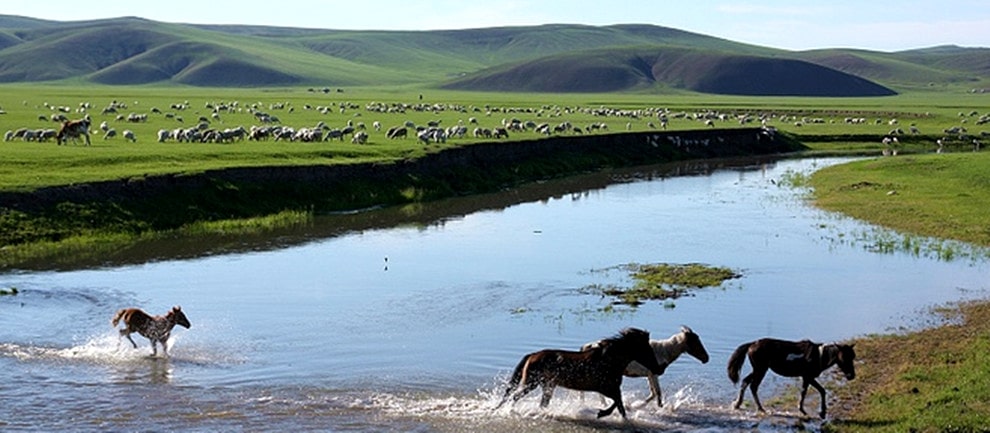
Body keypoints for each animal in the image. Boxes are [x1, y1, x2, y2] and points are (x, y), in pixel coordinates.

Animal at [496, 328, 668, 418]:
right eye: (647, 350)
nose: (659, 369)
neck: (610, 360)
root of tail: (532, 355)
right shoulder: (606, 388)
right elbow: (617, 403)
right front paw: (602, 413)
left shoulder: (611, 389)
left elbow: (619, 405)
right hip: (531, 383)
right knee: (515, 396)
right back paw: (510, 411)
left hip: (547, 385)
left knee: (541, 403)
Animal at [580, 326, 712, 406]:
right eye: (696, 342)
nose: (706, 358)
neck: (663, 352)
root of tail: (588, 347)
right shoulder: (654, 374)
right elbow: (657, 393)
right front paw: (636, 407)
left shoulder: (649, 375)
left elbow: (653, 393)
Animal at [724, 336, 856, 416]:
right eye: (844, 357)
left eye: (853, 357)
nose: (851, 376)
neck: (819, 355)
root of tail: (752, 344)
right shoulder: (808, 377)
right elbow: (819, 391)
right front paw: (820, 412)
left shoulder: (806, 378)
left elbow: (807, 392)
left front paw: (805, 410)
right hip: (761, 370)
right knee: (753, 386)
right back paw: (760, 408)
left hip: (758, 369)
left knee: (745, 382)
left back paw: (738, 404)